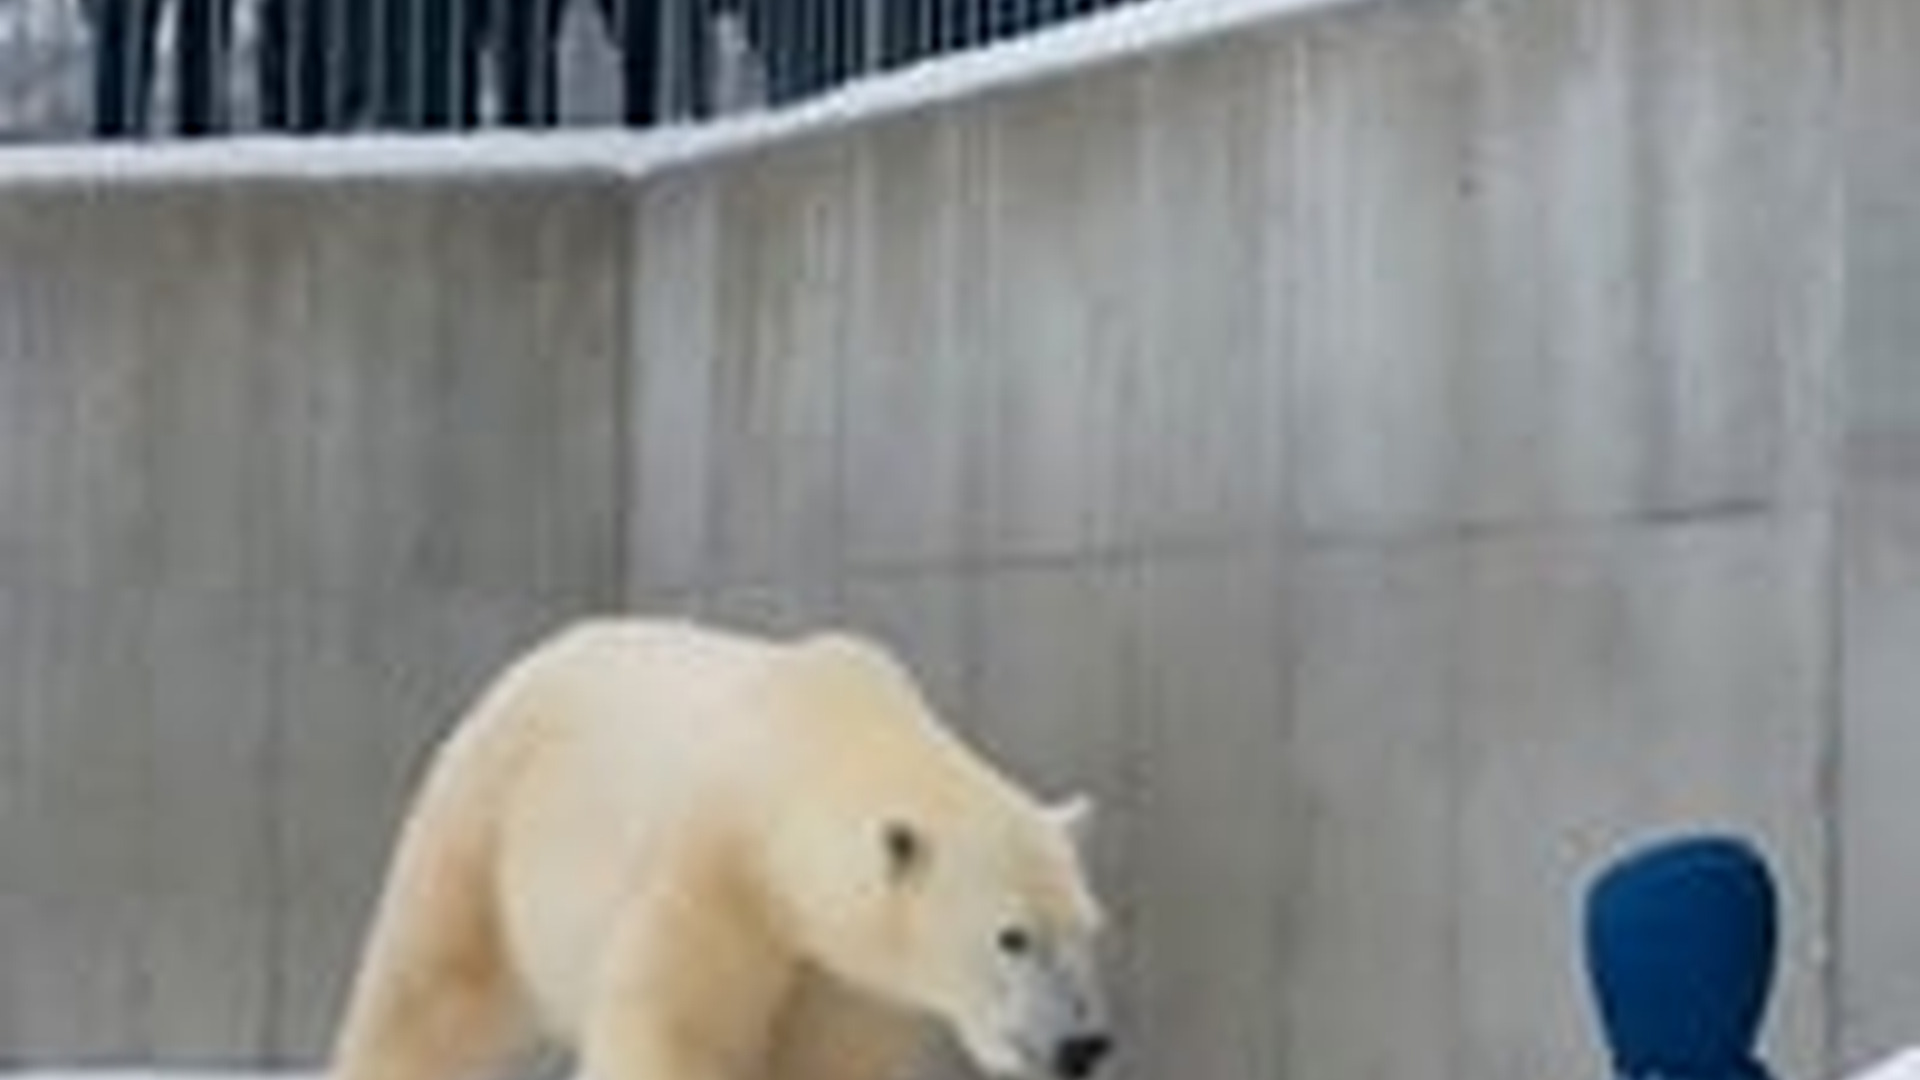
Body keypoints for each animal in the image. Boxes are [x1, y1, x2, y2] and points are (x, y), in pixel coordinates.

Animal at [327, 618, 1114, 1080]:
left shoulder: (841, 967)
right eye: (1012, 937)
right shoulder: (716, 869)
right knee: (429, 991)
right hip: (482, 825)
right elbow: (677, 1027)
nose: (1081, 1045)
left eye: (1090, 930)